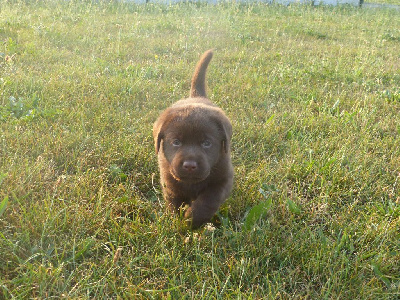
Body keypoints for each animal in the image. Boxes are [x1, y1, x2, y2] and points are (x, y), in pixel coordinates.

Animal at [154, 49, 234, 229]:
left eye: (207, 143)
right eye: (176, 142)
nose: (190, 165)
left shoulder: (223, 179)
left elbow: (209, 199)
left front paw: (191, 219)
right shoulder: (169, 181)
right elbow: (173, 202)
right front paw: (176, 221)